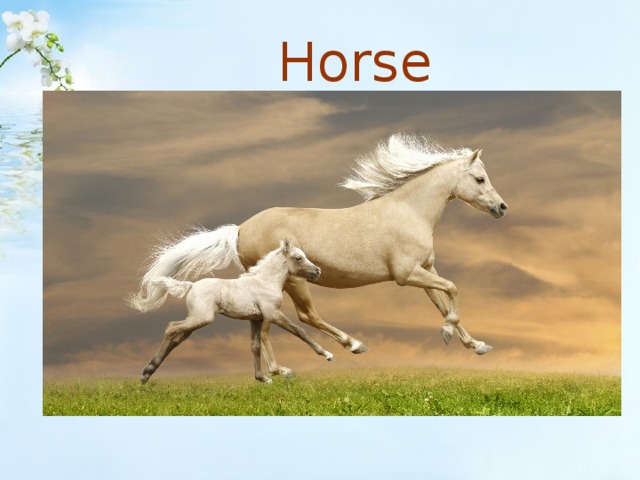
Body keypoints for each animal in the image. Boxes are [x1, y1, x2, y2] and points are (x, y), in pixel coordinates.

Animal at [132, 239, 334, 384]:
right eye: (299, 257)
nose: (317, 271)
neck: (265, 282)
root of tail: (190, 286)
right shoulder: (273, 315)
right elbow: (299, 331)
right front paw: (327, 354)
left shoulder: (256, 319)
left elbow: (255, 346)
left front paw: (262, 378)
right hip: (201, 318)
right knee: (171, 327)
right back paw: (147, 371)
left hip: (195, 321)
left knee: (176, 338)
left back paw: (147, 373)